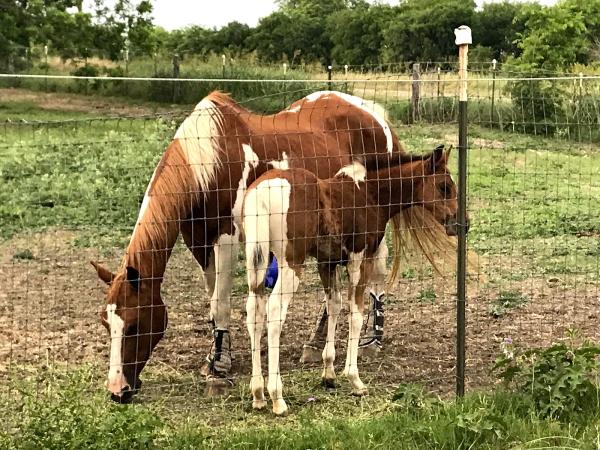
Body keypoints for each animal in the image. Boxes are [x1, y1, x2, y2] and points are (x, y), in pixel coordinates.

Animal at [90, 89, 426, 402]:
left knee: (374, 275)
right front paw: (217, 353)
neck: (208, 162)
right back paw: (316, 343)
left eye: (135, 325)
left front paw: (218, 367)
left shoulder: (225, 239)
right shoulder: (199, 242)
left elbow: (221, 302)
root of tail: (373, 113)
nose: (118, 390)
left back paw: (372, 338)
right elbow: (214, 301)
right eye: (107, 323)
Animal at [241, 144, 458, 414]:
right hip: (291, 263)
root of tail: (261, 192)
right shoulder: (359, 259)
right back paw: (277, 397)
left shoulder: (327, 262)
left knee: (254, 311)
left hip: (257, 262)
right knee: (274, 312)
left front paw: (328, 373)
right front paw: (354, 379)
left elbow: (334, 305)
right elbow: (356, 312)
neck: (369, 193)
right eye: (444, 186)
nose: (460, 222)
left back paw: (258, 394)